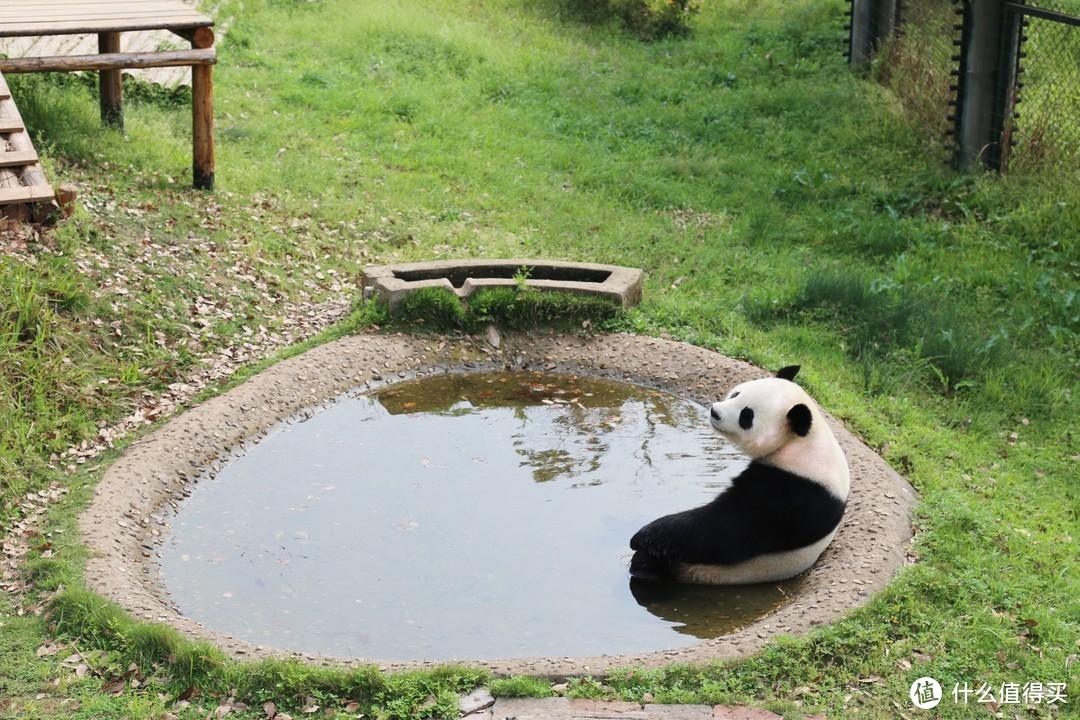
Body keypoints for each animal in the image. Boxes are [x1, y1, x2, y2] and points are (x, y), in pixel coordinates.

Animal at [630, 367, 846, 587]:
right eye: (736, 394)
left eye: (746, 415)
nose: (715, 411)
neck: (803, 441)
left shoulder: (791, 491)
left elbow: (723, 527)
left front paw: (643, 536)